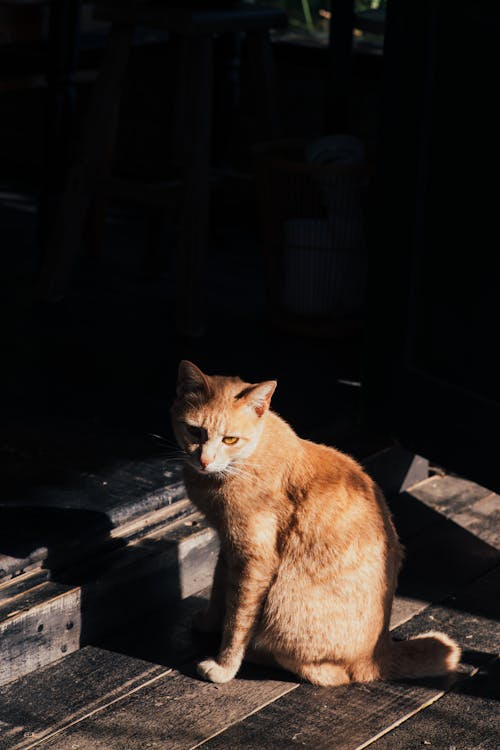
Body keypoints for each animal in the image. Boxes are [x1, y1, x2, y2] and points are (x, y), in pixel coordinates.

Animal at [170, 362, 458, 684]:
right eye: (195, 431)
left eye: (230, 439)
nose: (204, 461)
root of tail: (381, 651)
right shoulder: (228, 546)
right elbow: (219, 590)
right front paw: (209, 623)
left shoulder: (254, 559)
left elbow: (238, 621)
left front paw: (224, 666)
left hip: (283, 603)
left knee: (329, 675)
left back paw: (258, 653)